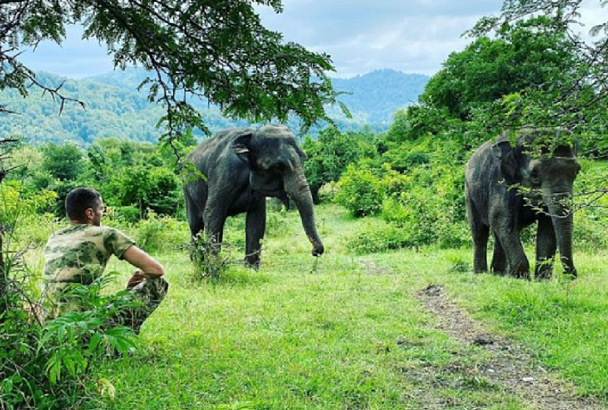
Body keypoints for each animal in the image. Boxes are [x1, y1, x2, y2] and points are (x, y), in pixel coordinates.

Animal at [183, 124, 326, 266]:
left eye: (303, 159)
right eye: (278, 166)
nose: (315, 252)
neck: (252, 133)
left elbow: (257, 220)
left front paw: (251, 268)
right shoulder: (223, 175)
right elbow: (212, 214)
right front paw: (212, 265)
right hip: (186, 186)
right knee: (196, 224)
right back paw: (196, 260)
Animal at [466, 130, 580, 280]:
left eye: (577, 171)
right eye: (535, 175)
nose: (571, 274)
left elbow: (548, 226)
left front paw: (541, 280)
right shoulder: (501, 181)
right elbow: (500, 219)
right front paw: (522, 278)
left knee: (499, 235)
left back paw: (499, 273)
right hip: (470, 193)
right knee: (480, 233)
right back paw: (482, 273)